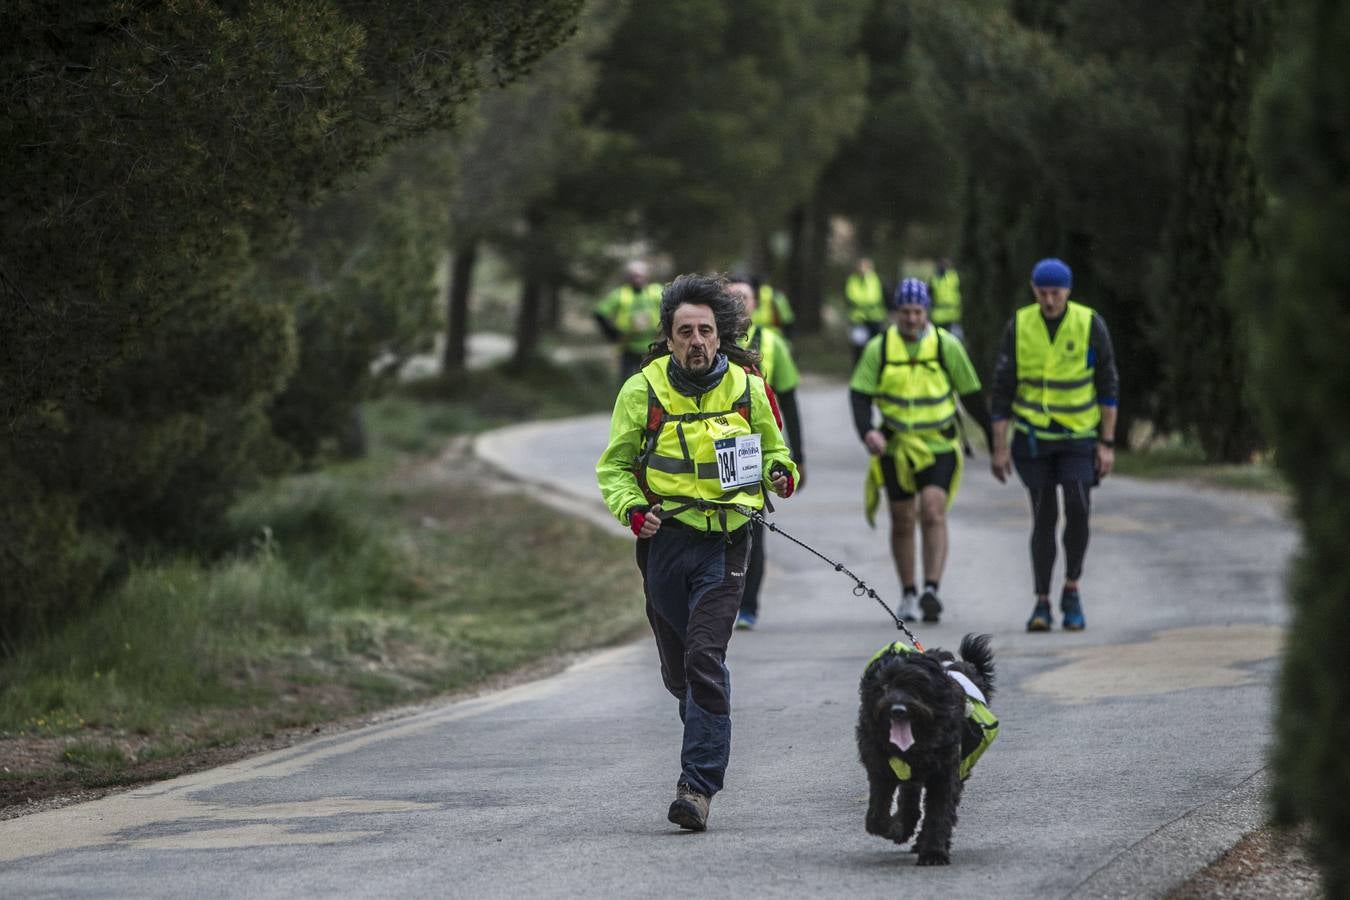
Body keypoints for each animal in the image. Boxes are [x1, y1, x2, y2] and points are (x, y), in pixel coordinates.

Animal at [858, 634, 999, 863]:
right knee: (909, 800)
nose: (898, 710)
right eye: (884, 685)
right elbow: (877, 816)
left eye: (916, 685)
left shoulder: (945, 773)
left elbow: (938, 813)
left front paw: (933, 852)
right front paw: (894, 828)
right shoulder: (881, 770)